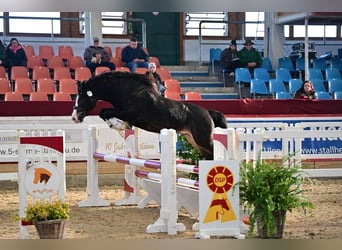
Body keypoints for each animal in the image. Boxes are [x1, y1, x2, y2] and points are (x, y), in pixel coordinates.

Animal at [71, 71, 227, 159]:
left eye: (82, 98)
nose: (74, 117)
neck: (128, 92)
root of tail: (208, 113)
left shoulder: (129, 113)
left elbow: (104, 111)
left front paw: (119, 126)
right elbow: (104, 113)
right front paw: (120, 126)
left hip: (203, 140)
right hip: (194, 140)